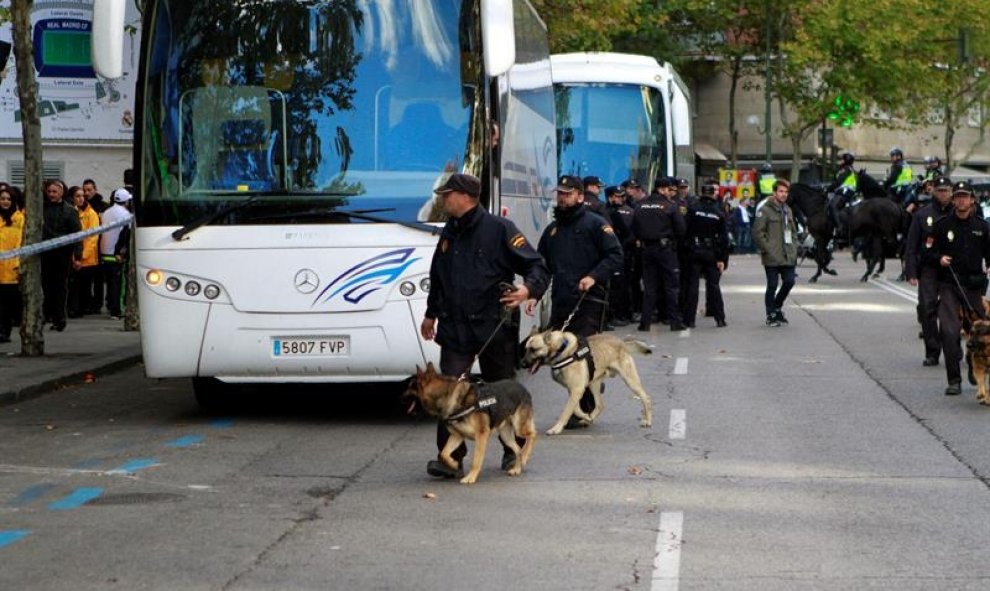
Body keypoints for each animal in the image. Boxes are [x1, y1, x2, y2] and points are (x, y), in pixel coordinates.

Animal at [406, 366, 540, 486]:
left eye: (410, 386)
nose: (401, 396)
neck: (447, 395)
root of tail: (522, 387)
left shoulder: (481, 436)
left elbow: (476, 460)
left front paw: (471, 477)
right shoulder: (457, 436)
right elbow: (444, 453)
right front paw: (454, 464)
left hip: (519, 428)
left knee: (533, 434)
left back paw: (526, 455)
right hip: (506, 436)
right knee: (518, 450)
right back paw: (517, 468)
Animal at [524, 330, 656, 438]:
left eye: (533, 349)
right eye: (526, 348)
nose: (522, 363)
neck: (561, 348)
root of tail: (621, 342)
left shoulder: (577, 389)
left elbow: (566, 411)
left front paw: (556, 428)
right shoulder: (574, 390)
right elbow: (575, 409)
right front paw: (586, 417)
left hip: (630, 380)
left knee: (646, 398)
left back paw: (648, 421)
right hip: (593, 384)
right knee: (600, 404)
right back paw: (589, 418)